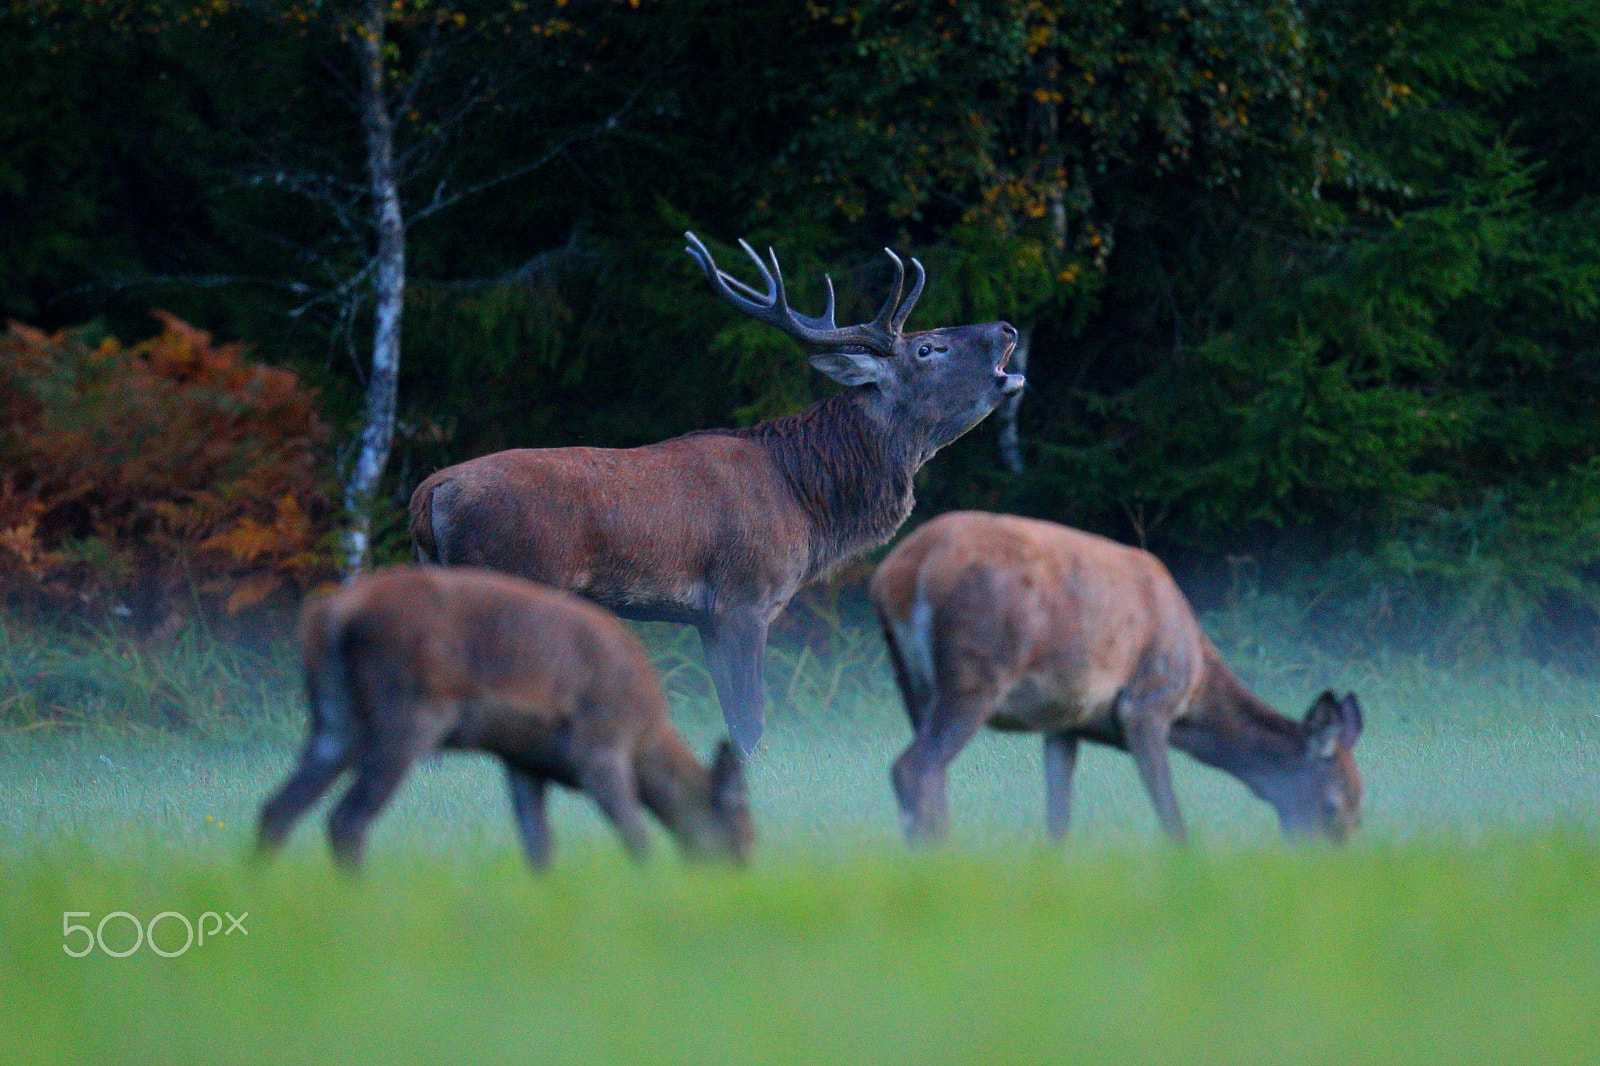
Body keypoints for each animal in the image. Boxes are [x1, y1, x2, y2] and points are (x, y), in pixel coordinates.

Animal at [252, 560, 752, 870]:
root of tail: (331, 615)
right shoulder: (601, 745)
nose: (742, 871)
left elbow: (539, 845)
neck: (646, 736)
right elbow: (637, 835)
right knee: (346, 820)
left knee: (276, 810)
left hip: (335, 719)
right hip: (410, 711)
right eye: (740, 826)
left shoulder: (523, 758)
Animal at [406, 232, 1017, 752]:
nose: (1008, 329)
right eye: (928, 348)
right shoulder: (744, 597)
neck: (807, 502)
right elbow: (750, 723)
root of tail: (429, 492)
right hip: (511, 578)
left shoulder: (704, 617)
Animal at [876, 512, 1363, 845]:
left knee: (933, 776)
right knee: (913, 768)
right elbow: (1171, 817)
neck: (1196, 685)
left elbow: (1058, 822)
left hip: (912, 683)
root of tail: (899, 573)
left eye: (1361, 810)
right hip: (976, 671)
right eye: (1333, 807)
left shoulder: (1064, 723)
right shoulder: (1145, 705)